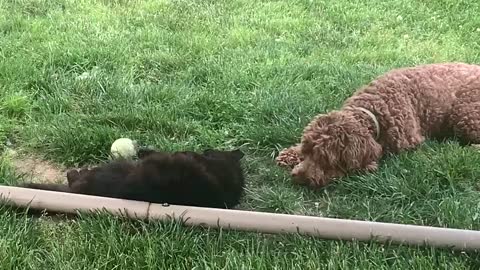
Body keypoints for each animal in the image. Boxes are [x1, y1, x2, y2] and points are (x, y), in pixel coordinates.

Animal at [276, 63, 480, 189]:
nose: (298, 177)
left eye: (325, 159)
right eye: (307, 151)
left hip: (465, 114)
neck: (375, 107)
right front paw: (289, 154)